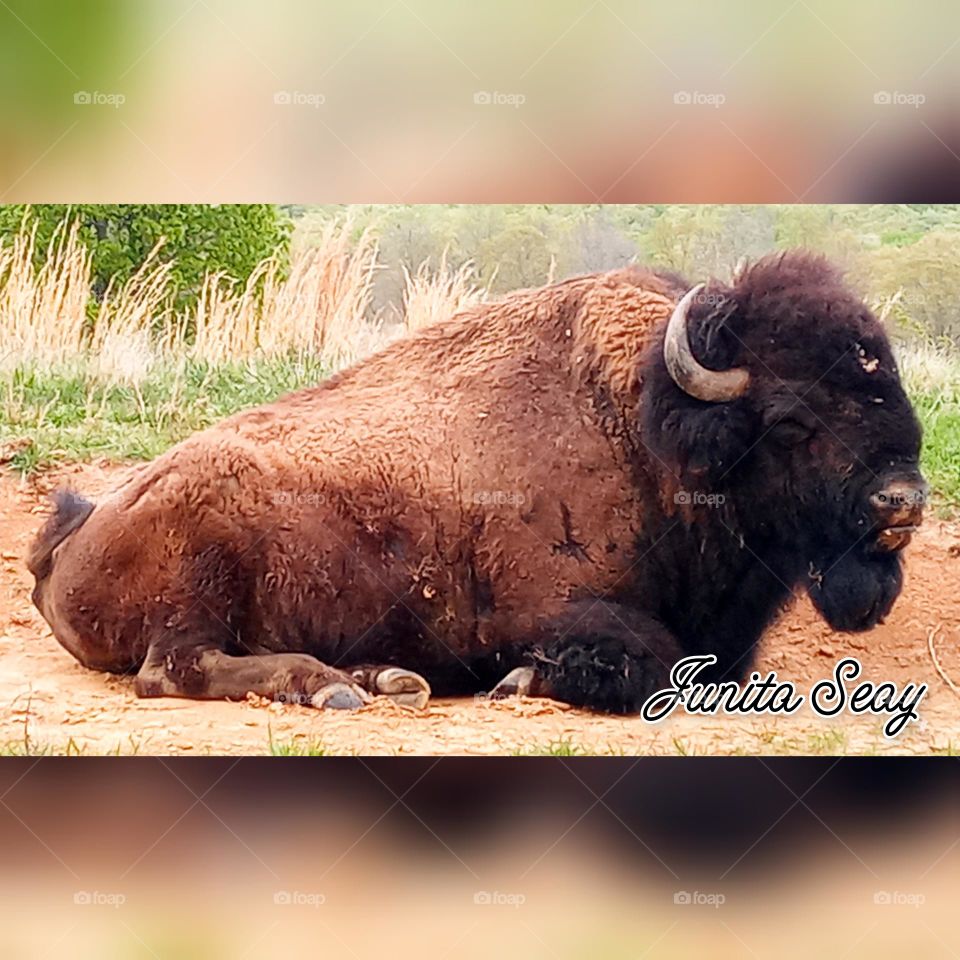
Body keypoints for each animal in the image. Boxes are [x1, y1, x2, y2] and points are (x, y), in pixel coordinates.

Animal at [29, 251, 926, 713]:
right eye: (791, 419)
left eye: (888, 379)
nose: (902, 502)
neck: (650, 429)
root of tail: (69, 539)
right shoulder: (546, 609)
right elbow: (652, 660)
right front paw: (523, 680)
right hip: (199, 583)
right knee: (173, 669)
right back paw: (333, 689)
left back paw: (387, 681)